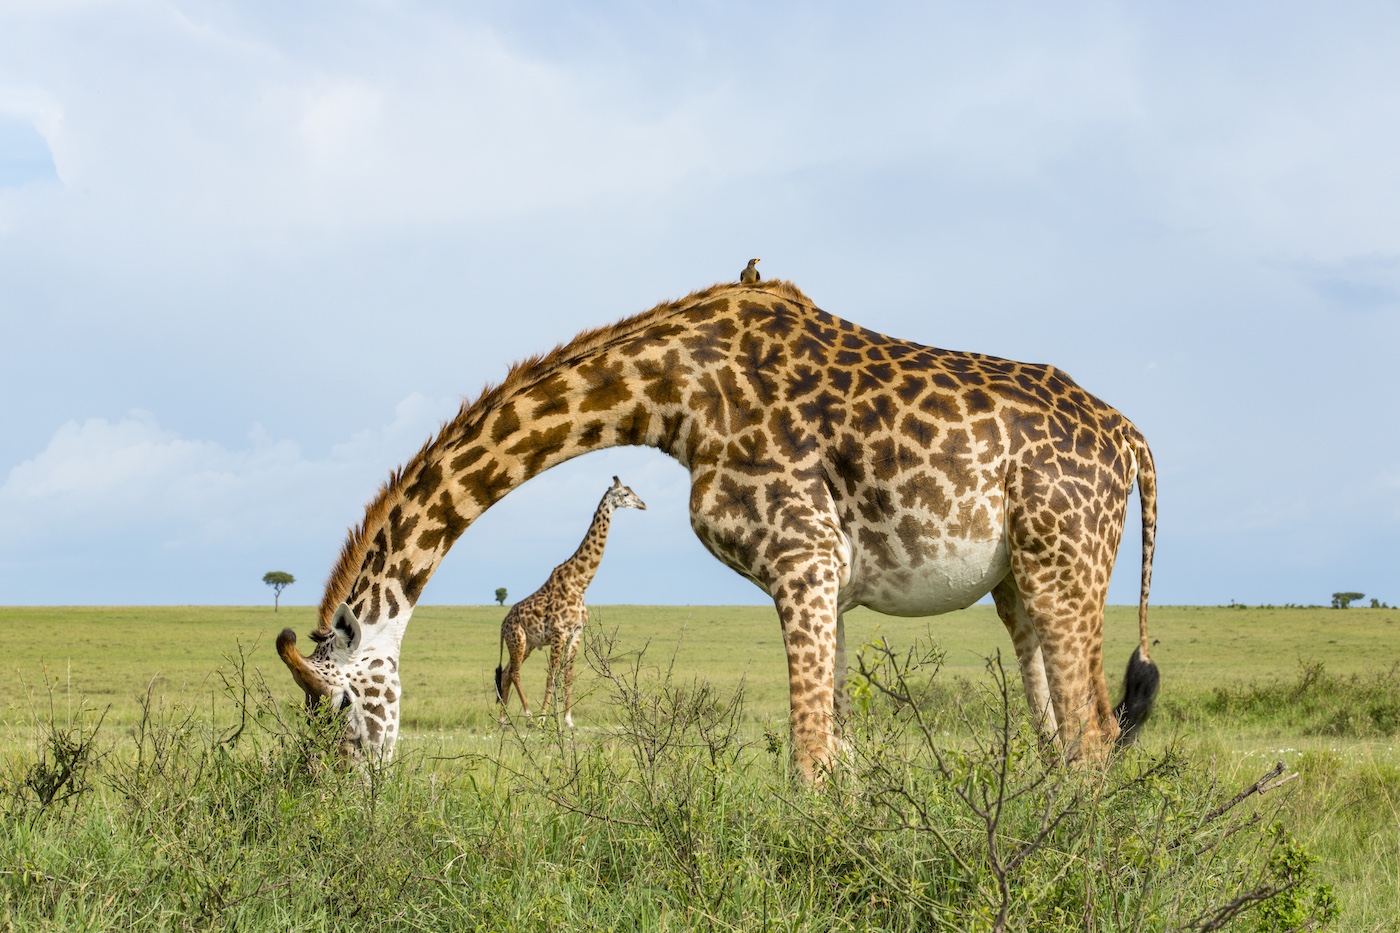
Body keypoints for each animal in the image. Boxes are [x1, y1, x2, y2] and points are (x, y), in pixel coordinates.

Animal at [495, 476, 647, 728]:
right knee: (514, 672)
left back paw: (503, 719)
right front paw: (544, 717)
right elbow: (551, 674)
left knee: (506, 672)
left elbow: (567, 674)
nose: (643, 505)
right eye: (625, 494)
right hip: (517, 639)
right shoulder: (559, 632)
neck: (580, 584)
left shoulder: (576, 632)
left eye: (633, 491)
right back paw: (527, 714)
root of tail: (502, 625)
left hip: (527, 643)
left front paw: (567, 720)